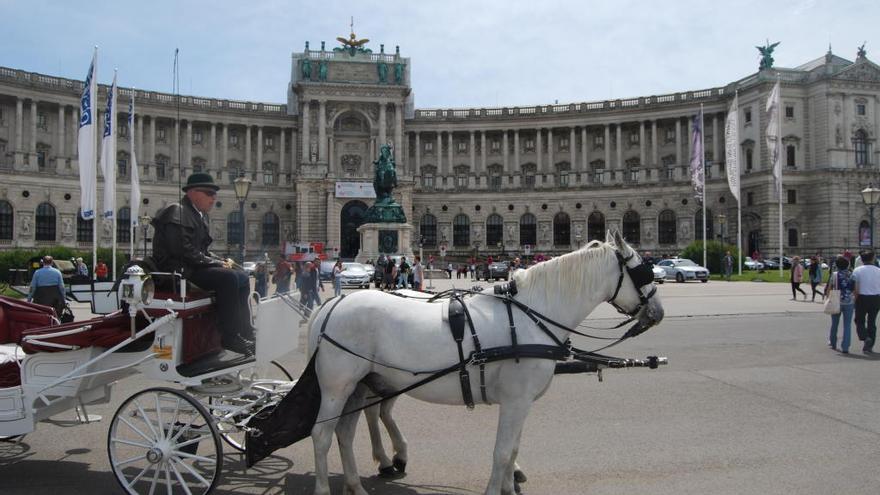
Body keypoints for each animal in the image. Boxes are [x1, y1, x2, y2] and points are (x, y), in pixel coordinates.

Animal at [308, 231, 660, 494]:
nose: (658, 311)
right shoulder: (516, 399)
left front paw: (509, 485)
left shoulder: (521, 402)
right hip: (338, 388)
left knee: (346, 432)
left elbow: (512, 449)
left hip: (362, 384)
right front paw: (498, 488)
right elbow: (502, 451)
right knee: (322, 434)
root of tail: (331, 305)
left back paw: (360, 482)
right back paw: (329, 486)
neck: (531, 314)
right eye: (644, 270)